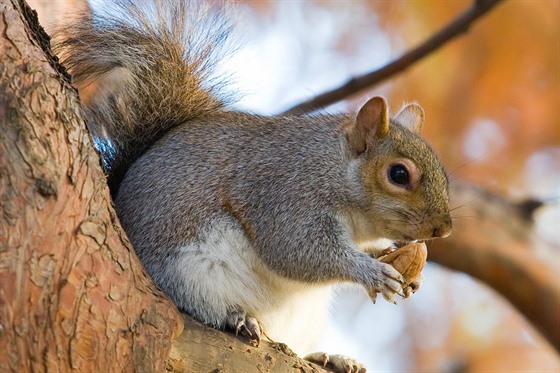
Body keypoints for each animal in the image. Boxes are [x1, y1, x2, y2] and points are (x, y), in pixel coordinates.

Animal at [54, 1, 452, 370]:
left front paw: (400, 265)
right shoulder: (285, 193)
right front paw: (370, 272)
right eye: (399, 174)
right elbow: (296, 250)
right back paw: (237, 317)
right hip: (189, 272)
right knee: (199, 304)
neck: (334, 171)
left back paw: (329, 357)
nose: (444, 229)